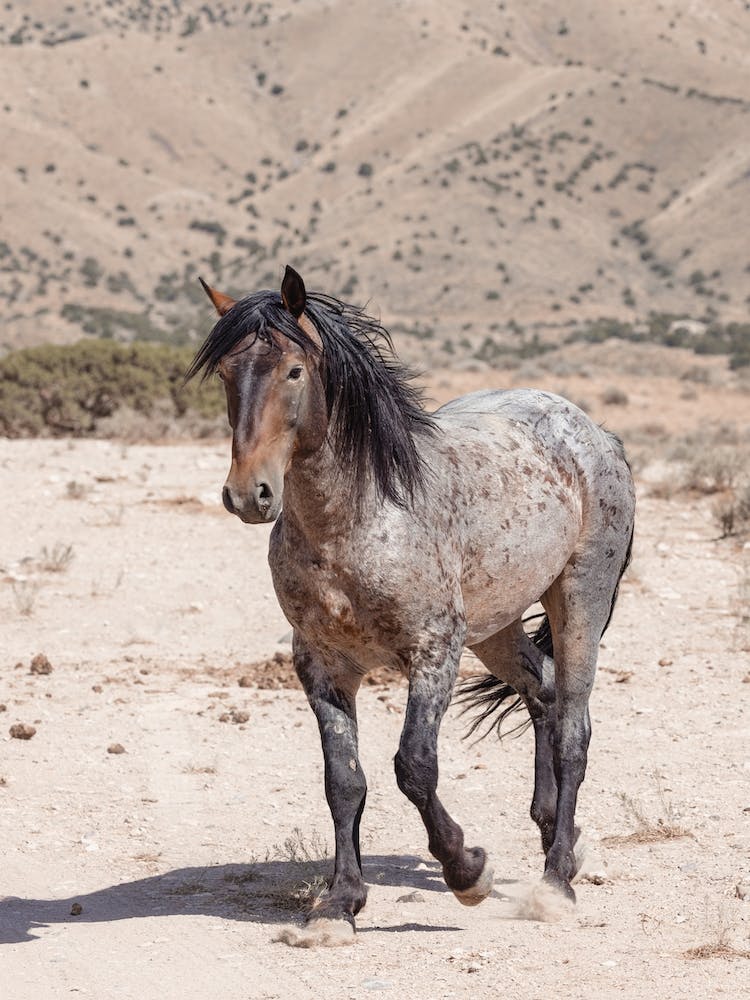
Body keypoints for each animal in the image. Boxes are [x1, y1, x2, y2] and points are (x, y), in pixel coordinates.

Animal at [187, 266, 635, 944]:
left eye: (294, 370)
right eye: (225, 374)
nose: (249, 494)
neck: (356, 521)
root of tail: (593, 433)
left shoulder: (433, 651)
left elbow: (414, 767)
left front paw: (468, 870)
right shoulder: (321, 666)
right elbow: (344, 781)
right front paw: (339, 905)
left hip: (578, 597)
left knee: (573, 730)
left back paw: (556, 883)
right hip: (495, 628)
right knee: (545, 692)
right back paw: (560, 835)